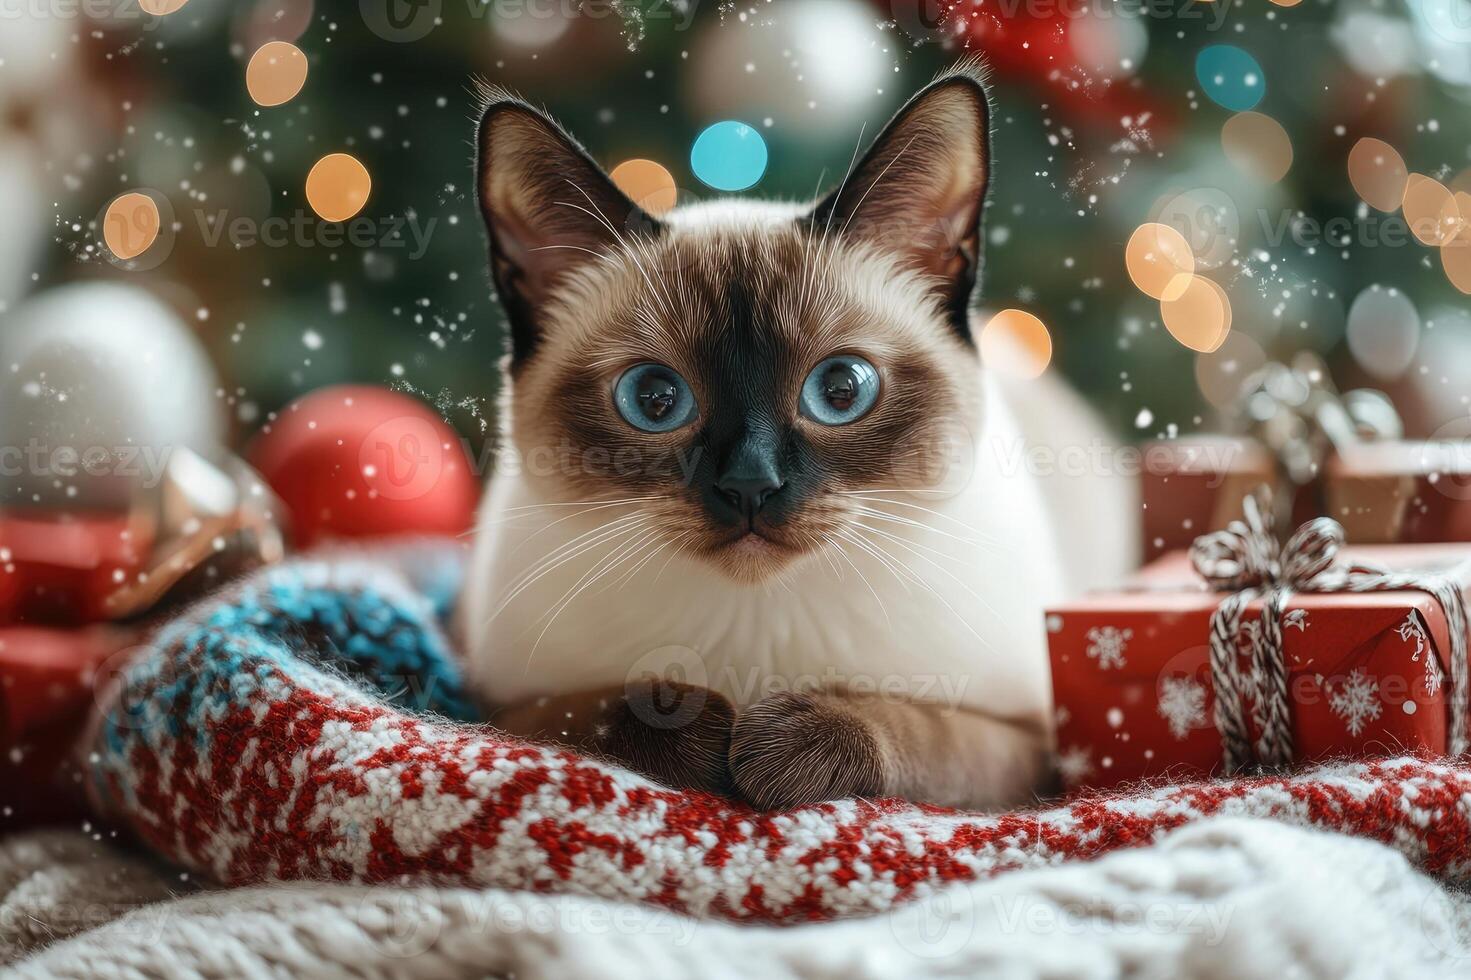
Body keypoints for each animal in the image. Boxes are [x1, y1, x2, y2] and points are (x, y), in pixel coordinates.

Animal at [458, 62, 1135, 806]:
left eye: (840, 389)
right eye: (654, 399)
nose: (750, 485)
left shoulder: (1027, 742)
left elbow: (914, 728)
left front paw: (781, 743)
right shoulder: (499, 706)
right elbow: (614, 710)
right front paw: (705, 729)